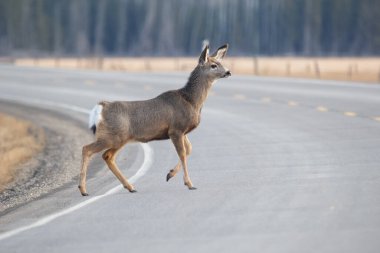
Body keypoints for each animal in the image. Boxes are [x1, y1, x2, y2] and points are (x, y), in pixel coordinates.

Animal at [78, 44, 230, 196]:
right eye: (213, 65)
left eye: (221, 63)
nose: (228, 72)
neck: (191, 101)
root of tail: (101, 107)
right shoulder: (176, 129)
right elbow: (182, 153)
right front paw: (189, 183)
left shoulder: (182, 131)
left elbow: (189, 150)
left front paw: (170, 174)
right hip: (113, 136)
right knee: (87, 149)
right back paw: (83, 189)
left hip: (119, 138)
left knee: (107, 156)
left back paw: (130, 187)